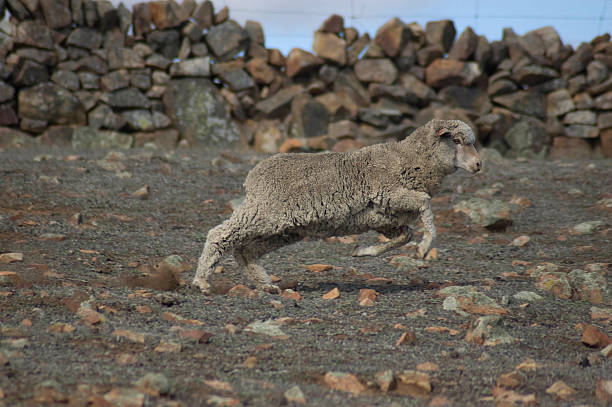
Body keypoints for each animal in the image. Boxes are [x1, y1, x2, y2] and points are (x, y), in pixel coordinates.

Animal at [194, 119, 480, 294]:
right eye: (456, 141)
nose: (479, 165)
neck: (409, 159)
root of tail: (253, 176)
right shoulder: (389, 193)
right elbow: (425, 203)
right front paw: (425, 246)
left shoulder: (385, 218)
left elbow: (404, 235)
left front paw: (363, 252)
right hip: (264, 213)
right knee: (220, 234)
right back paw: (202, 281)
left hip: (285, 230)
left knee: (246, 250)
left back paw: (266, 286)